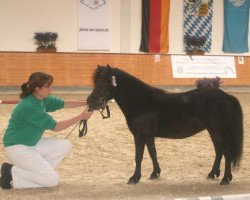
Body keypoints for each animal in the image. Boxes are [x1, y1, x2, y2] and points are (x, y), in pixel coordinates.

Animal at [87, 65, 243, 185]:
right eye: (96, 82)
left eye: (105, 83)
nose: (90, 101)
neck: (141, 101)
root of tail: (227, 97)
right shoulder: (149, 136)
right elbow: (153, 153)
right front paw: (155, 173)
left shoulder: (140, 135)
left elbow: (138, 156)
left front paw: (134, 178)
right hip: (213, 131)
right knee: (219, 151)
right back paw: (213, 174)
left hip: (218, 131)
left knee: (227, 152)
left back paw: (225, 179)